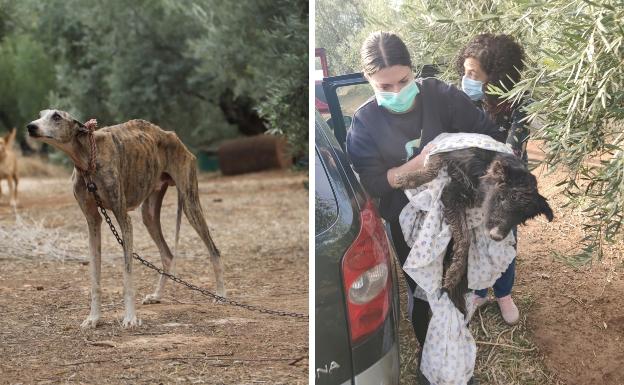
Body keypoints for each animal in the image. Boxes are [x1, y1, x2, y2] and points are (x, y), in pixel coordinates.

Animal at [28, 109, 227, 328]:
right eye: (41, 114)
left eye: (56, 116)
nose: (31, 127)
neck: (88, 160)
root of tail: (173, 136)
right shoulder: (93, 222)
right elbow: (95, 278)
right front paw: (93, 318)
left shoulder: (124, 219)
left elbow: (127, 275)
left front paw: (130, 318)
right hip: (149, 214)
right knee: (167, 254)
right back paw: (157, 295)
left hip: (190, 204)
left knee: (214, 250)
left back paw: (220, 294)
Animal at [398, 148, 552, 316]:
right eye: (502, 198)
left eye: (521, 218)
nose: (496, 236)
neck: (483, 168)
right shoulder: (450, 182)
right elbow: (433, 167)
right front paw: (406, 179)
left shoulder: (452, 193)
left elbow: (465, 238)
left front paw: (453, 276)